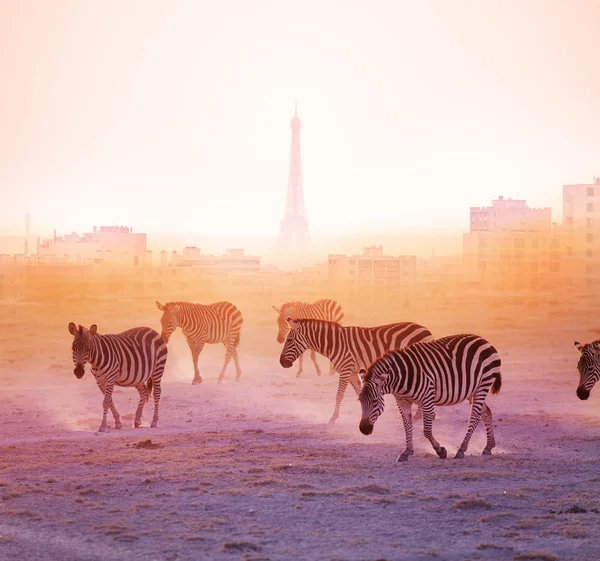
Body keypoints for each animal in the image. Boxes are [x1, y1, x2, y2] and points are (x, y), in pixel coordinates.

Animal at [278, 318, 434, 422]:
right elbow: (360, 392)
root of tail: (426, 329)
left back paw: (419, 415)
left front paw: (333, 417)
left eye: (289, 340)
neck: (334, 344)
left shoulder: (345, 369)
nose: (281, 362)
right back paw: (420, 414)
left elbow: (339, 394)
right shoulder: (352, 372)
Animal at [356, 334, 502, 462]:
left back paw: (461, 450)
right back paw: (488, 447)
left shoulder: (427, 398)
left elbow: (426, 431)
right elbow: (407, 427)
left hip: (483, 385)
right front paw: (406, 452)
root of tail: (483, 340)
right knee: (486, 413)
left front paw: (441, 451)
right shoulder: (402, 401)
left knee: (474, 417)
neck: (401, 378)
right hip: (472, 390)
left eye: (375, 401)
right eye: (359, 401)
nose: (364, 429)